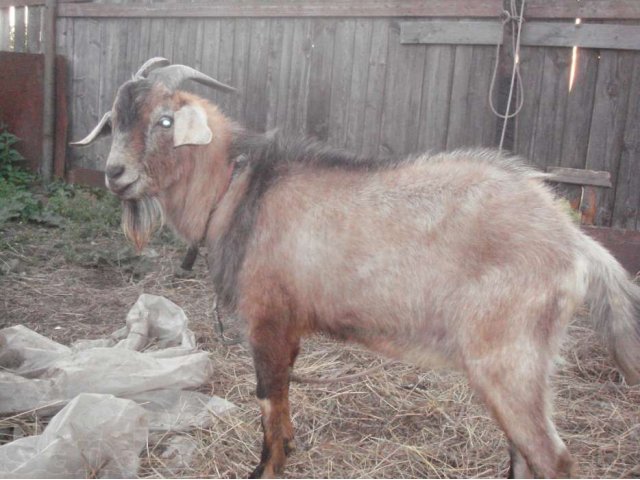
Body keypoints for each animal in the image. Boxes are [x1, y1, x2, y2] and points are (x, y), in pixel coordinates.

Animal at [71, 58, 640, 478]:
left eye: (164, 121)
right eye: (115, 121)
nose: (115, 174)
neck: (238, 188)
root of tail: (573, 240)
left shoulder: (267, 317)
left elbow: (267, 397)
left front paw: (266, 469)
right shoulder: (291, 323)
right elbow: (285, 396)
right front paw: (290, 449)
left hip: (507, 358)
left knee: (552, 458)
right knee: (524, 455)